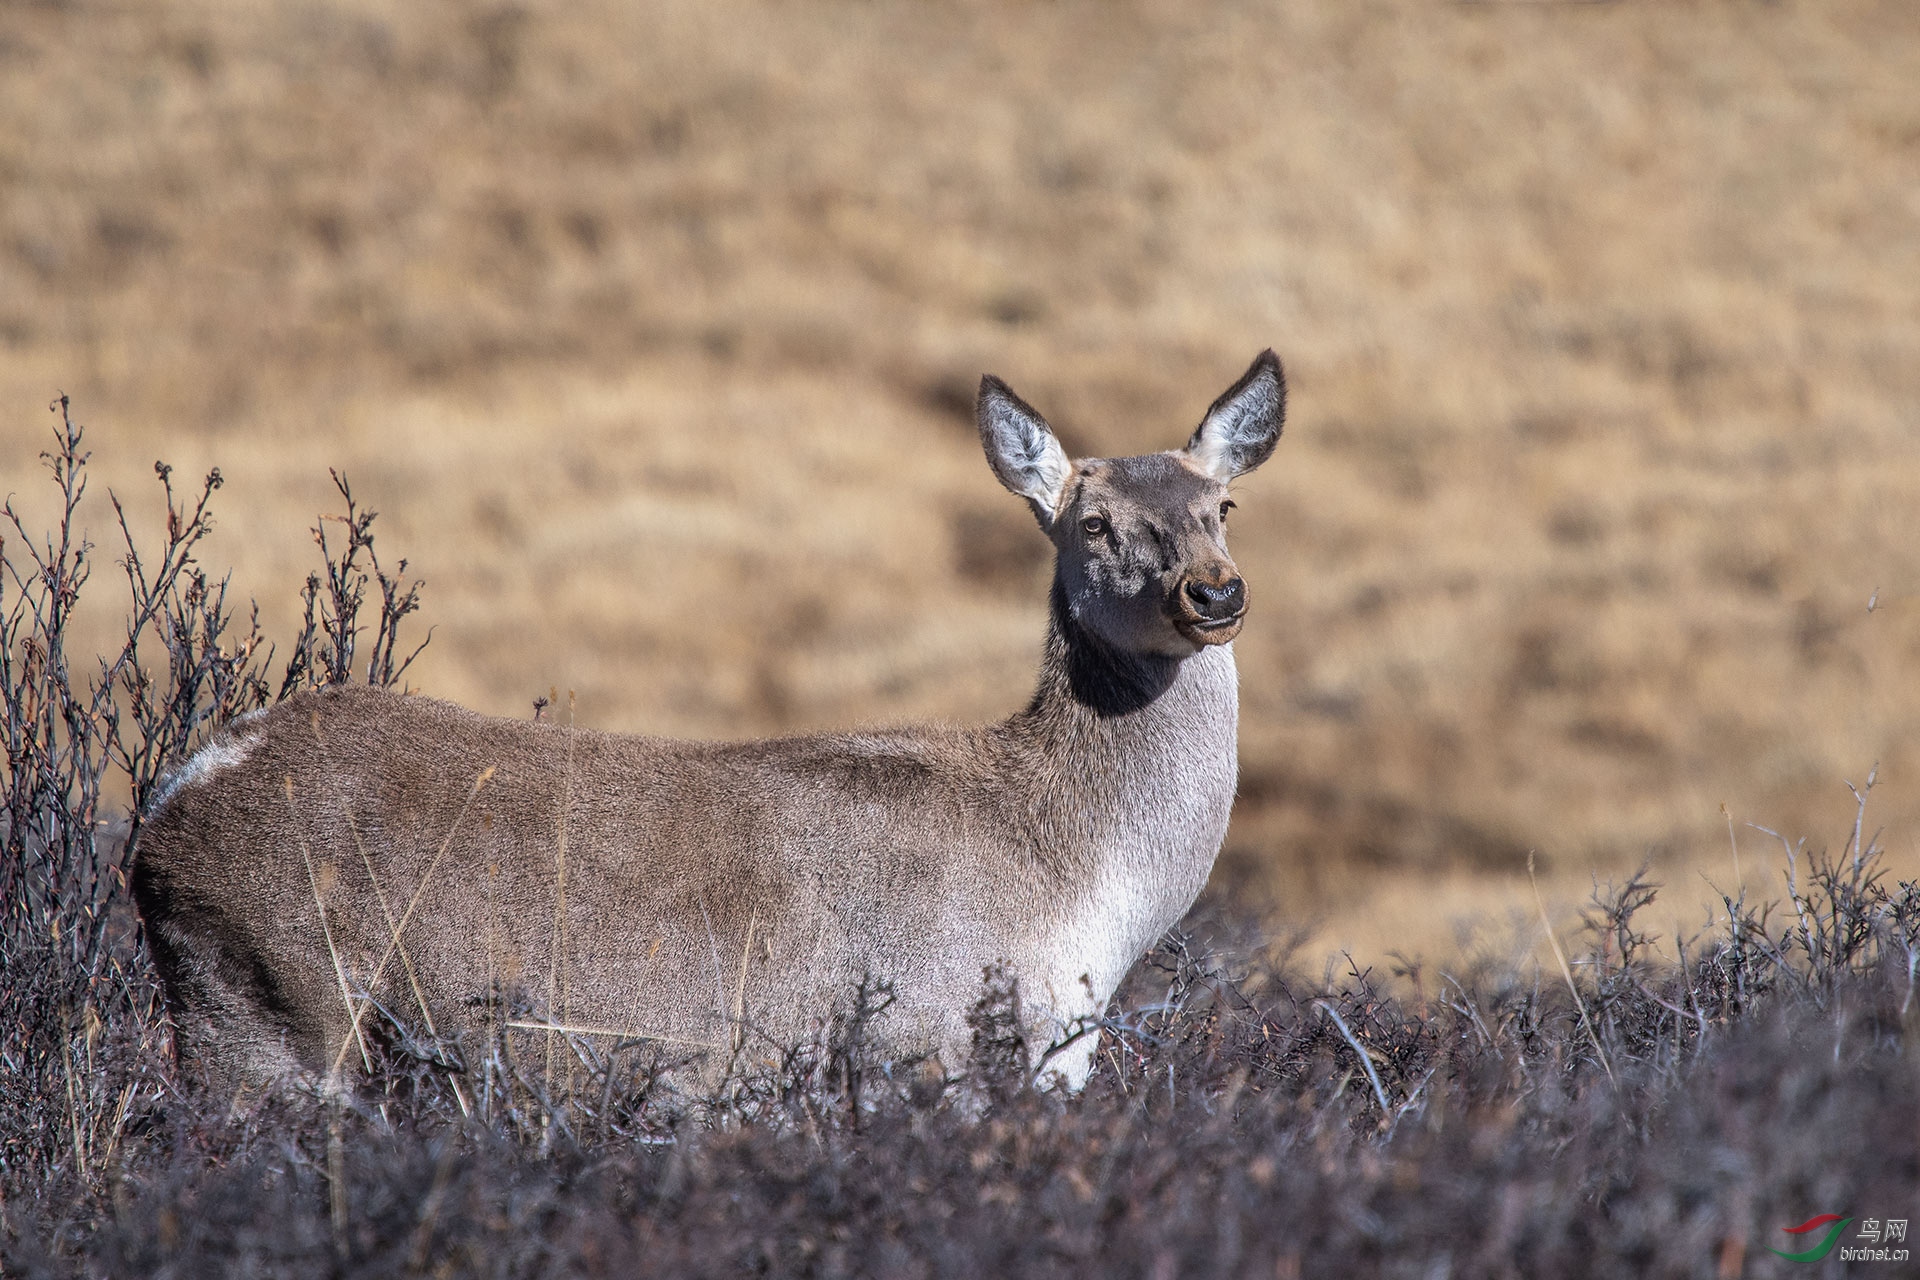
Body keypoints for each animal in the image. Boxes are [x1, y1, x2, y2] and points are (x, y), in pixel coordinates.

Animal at [127, 355, 1282, 1097]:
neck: (1083, 896)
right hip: (267, 1008)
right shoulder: (933, 1046)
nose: (1213, 591)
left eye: (1223, 506)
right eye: (1094, 524)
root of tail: (166, 806)